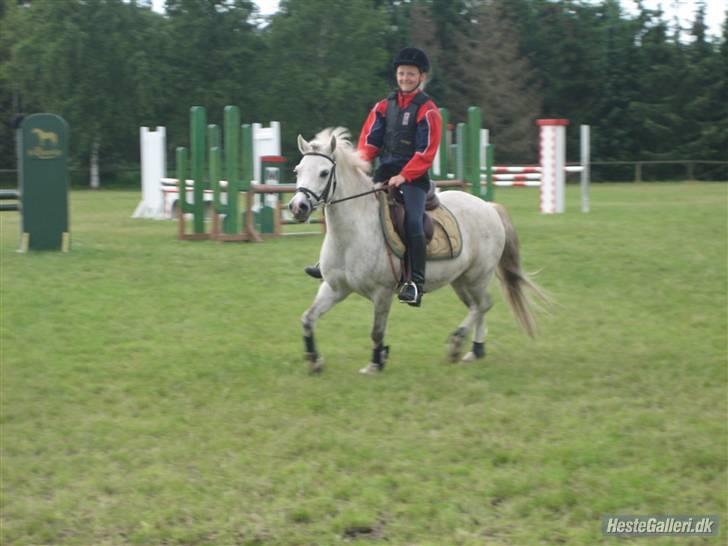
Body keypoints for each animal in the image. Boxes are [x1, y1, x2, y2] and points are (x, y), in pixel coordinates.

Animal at [288, 128, 544, 374]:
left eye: (323, 173)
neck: (351, 234)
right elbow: (308, 318)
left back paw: (458, 342)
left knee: (483, 305)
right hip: (461, 281)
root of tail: (488, 207)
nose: (297, 207)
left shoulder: (382, 293)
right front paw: (314, 360)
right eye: (298, 170)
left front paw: (375, 364)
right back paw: (475, 350)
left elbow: (377, 331)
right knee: (477, 307)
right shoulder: (334, 288)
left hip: (477, 277)